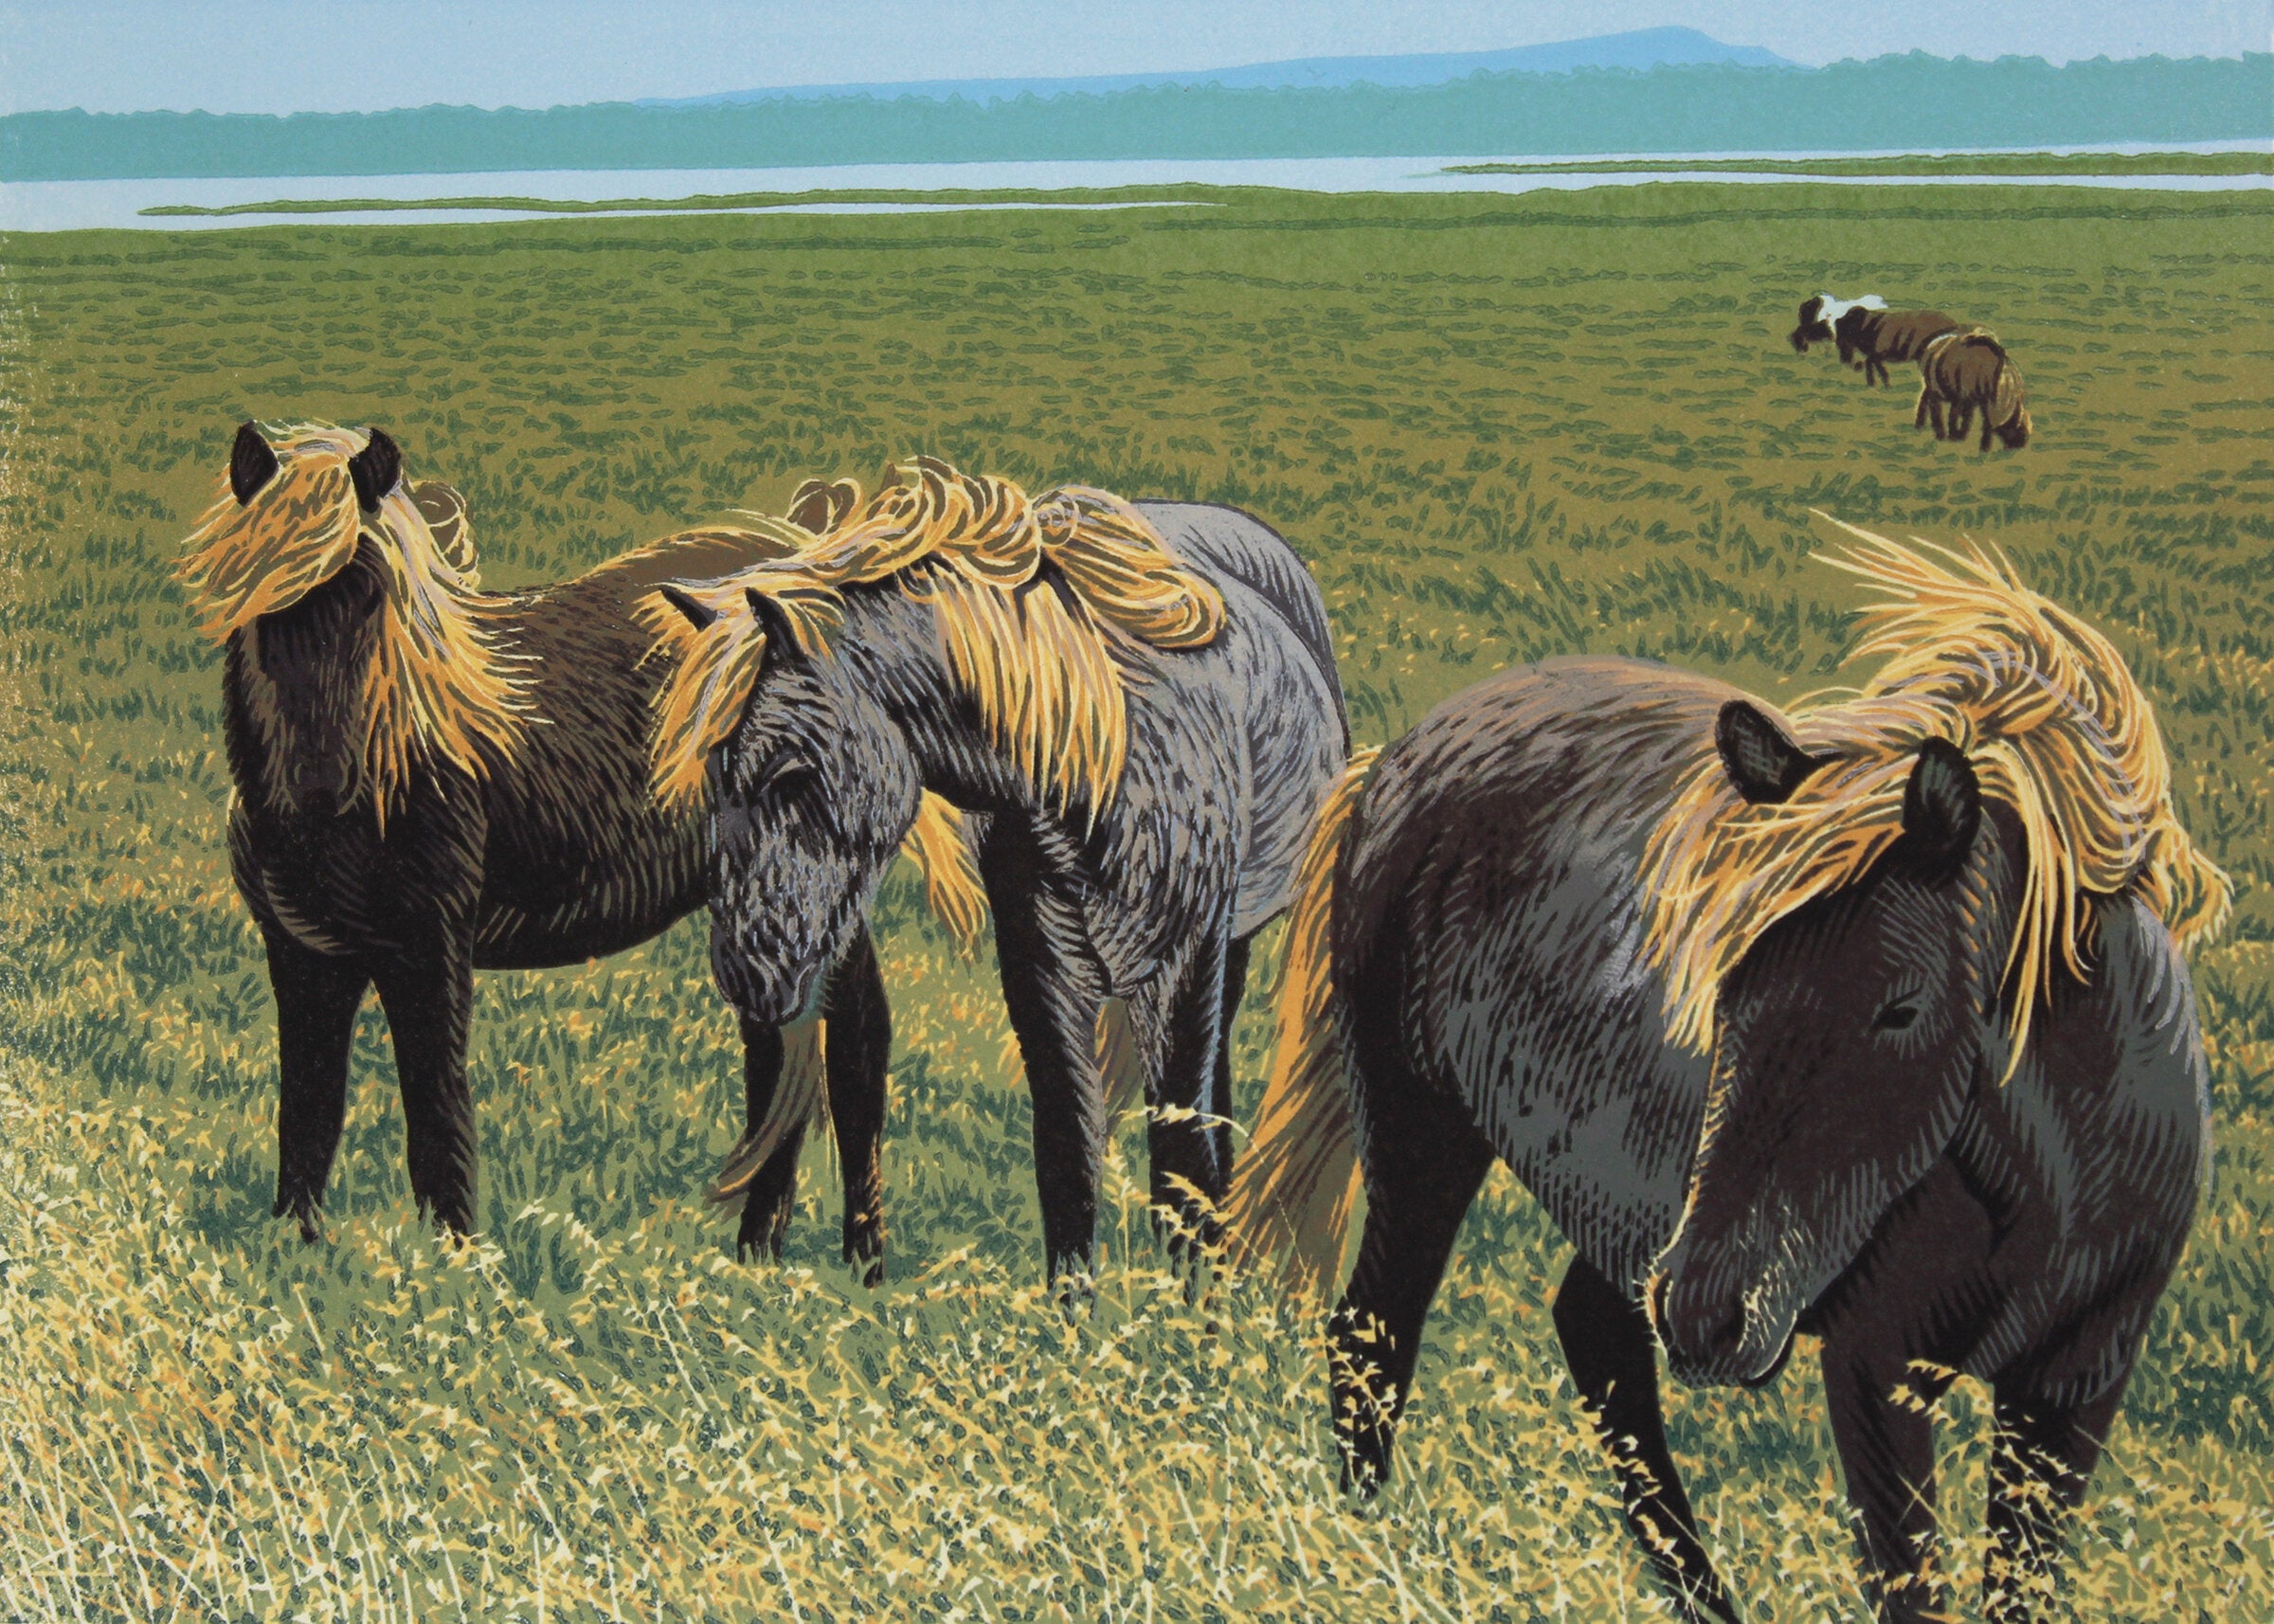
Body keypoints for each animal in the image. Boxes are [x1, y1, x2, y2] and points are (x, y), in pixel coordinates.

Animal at [177, 422, 981, 1277]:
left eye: (371, 599)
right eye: (260, 599)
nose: (322, 786)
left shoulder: (428, 952)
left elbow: (433, 1111)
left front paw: (455, 1261)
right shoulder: (305, 956)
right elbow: (308, 1113)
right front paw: (299, 1253)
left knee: (854, 1052)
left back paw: (861, 1263)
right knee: (778, 1051)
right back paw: (756, 1254)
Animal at [646, 456, 1349, 1284]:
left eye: (790, 772)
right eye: (713, 776)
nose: (747, 974)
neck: (1094, 753)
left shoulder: (1184, 961)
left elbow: (1180, 1155)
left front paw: (1190, 1309)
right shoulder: (1040, 956)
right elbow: (1067, 1151)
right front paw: (1076, 1310)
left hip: (1224, 949)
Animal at [1228, 527, 2227, 1623]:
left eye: (1902, 1007)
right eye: (1731, 980)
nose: (1711, 1312)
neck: (2055, 1180)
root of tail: (1400, 757)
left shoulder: (2075, 1388)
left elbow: (2021, 1583)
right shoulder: (1879, 1370)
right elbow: (1908, 1583)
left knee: (1595, 1340)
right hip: (1432, 1141)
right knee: (1374, 1331)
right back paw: (1371, 1554)